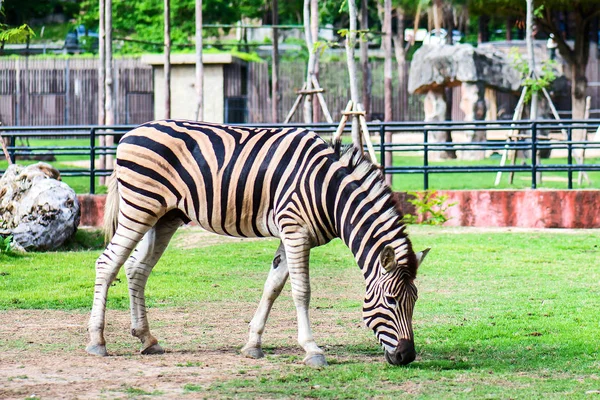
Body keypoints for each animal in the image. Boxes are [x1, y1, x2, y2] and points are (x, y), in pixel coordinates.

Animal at [86, 119, 428, 366]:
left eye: (415, 301)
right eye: (392, 301)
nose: (406, 356)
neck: (329, 192)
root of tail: (131, 133)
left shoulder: (290, 235)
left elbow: (272, 287)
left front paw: (253, 344)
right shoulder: (295, 231)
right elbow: (301, 292)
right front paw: (312, 350)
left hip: (163, 216)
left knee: (136, 269)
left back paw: (147, 339)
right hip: (139, 207)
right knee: (107, 263)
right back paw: (97, 342)